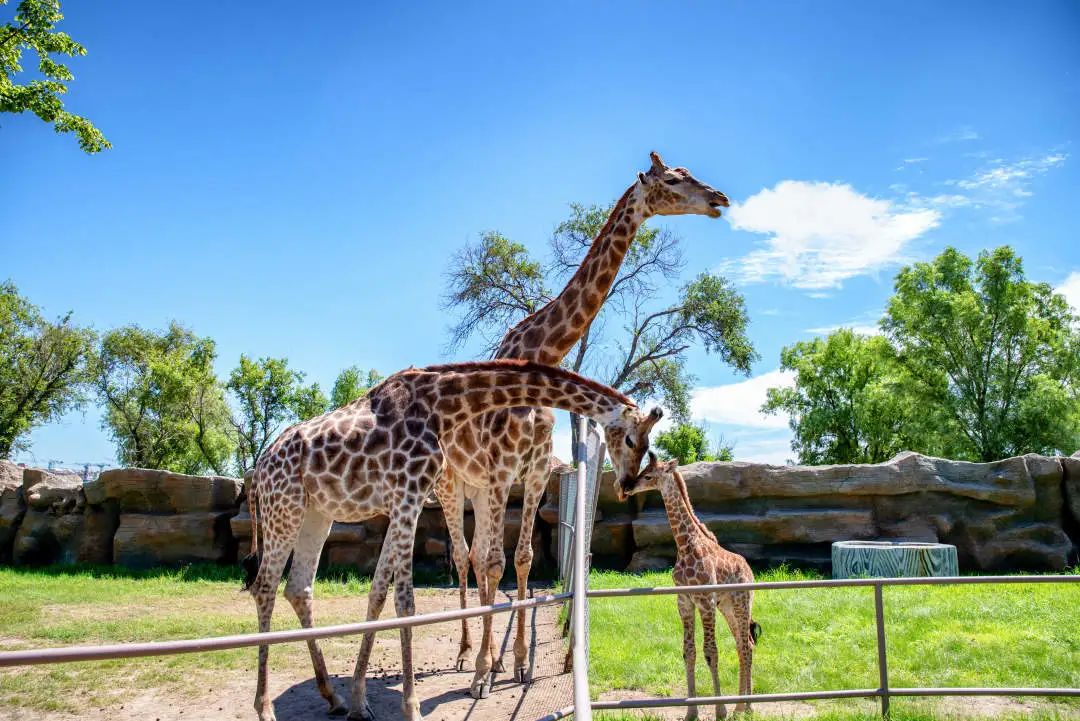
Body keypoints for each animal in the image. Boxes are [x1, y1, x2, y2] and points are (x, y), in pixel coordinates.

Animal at [434, 151, 730, 690]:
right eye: (673, 180)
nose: (719, 199)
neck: (539, 352)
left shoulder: (531, 474)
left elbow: (521, 558)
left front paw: (520, 664)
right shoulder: (500, 473)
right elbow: (493, 561)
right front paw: (485, 672)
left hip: (477, 488)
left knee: (478, 556)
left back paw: (486, 657)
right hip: (453, 484)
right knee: (467, 557)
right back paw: (467, 657)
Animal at [622, 453, 764, 716]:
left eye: (648, 475)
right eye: (643, 471)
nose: (627, 488)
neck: (686, 544)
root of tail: (749, 571)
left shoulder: (705, 601)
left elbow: (711, 652)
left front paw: (720, 711)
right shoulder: (684, 601)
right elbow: (689, 652)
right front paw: (691, 712)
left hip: (742, 602)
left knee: (747, 645)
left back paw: (746, 707)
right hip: (727, 606)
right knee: (743, 644)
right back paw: (741, 706)